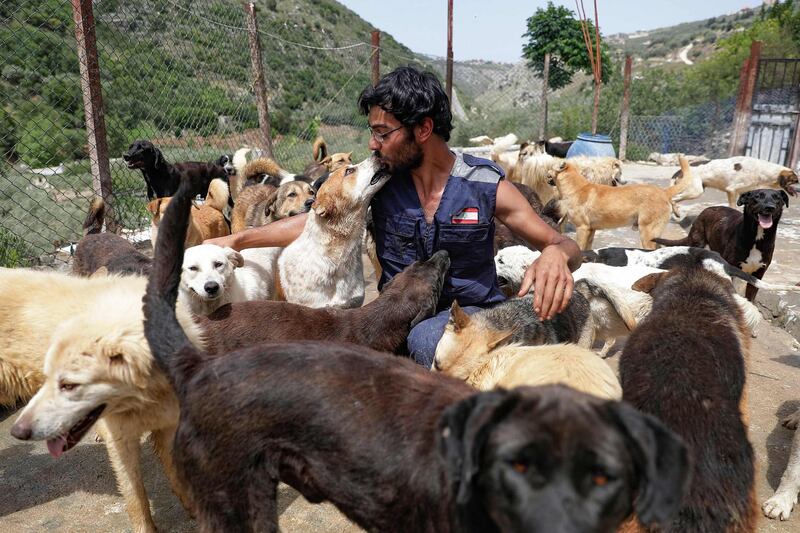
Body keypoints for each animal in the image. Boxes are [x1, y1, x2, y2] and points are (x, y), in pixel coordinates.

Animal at [3, 268, 203, 532]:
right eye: (47, 377)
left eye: (68, 385)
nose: (17, 432)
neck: (146, 399)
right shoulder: (120, 440)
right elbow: (135, 498)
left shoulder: (169, 425)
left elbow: (178, 477)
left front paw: (194, 511)